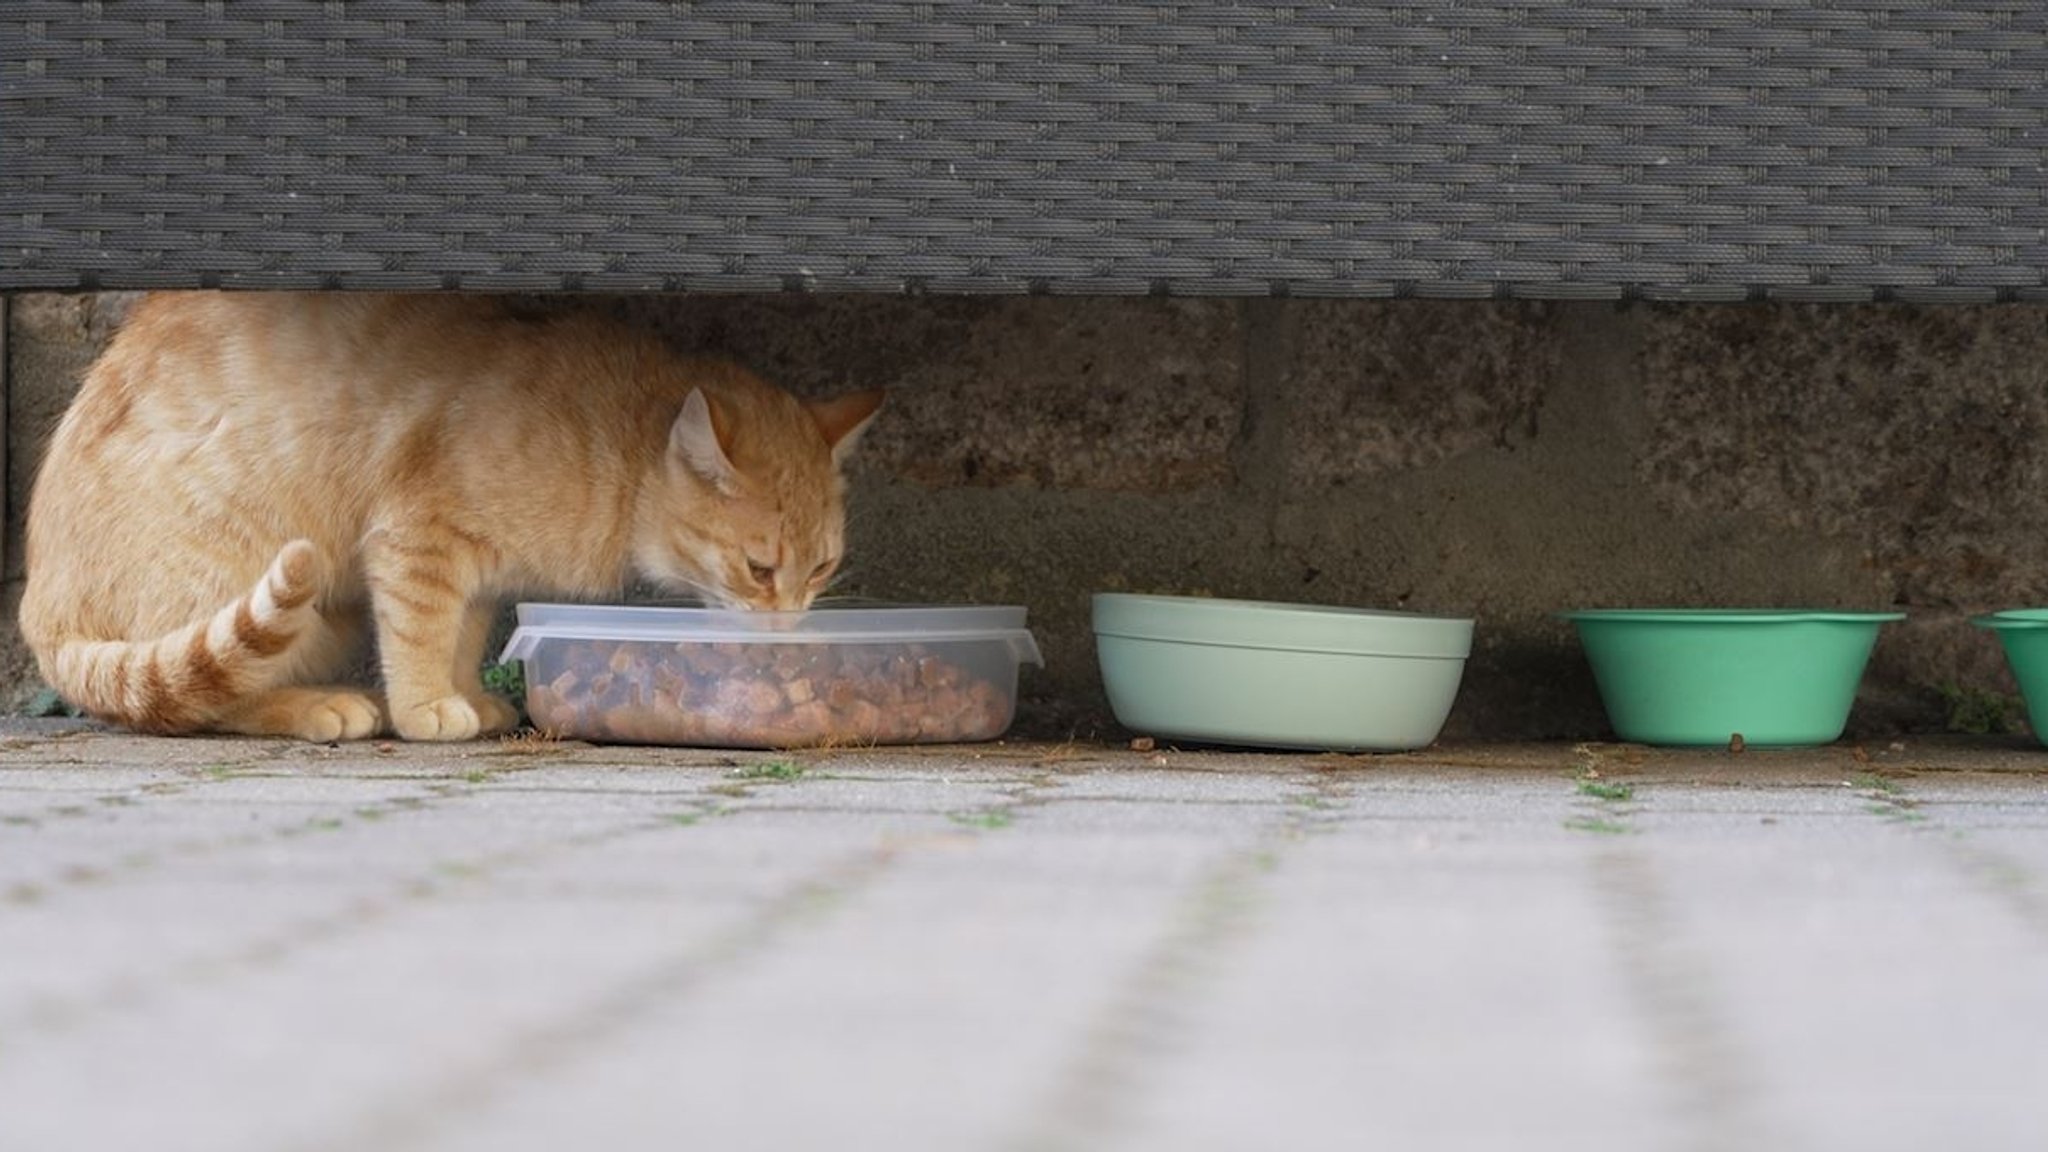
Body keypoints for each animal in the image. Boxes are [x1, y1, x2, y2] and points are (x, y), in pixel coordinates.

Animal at [18, 291, 880, 737]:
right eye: (760, 568)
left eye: (824, 566)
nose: (790, 627)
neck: (620, 446)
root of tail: (39, 602)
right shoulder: (418, 538)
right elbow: (420, 633)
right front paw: (428, 706)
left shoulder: (480, 573)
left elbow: (462, 635)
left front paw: (466, 695)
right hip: (261, 586)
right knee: (199, 703)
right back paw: (324, 707)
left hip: (323, 618)